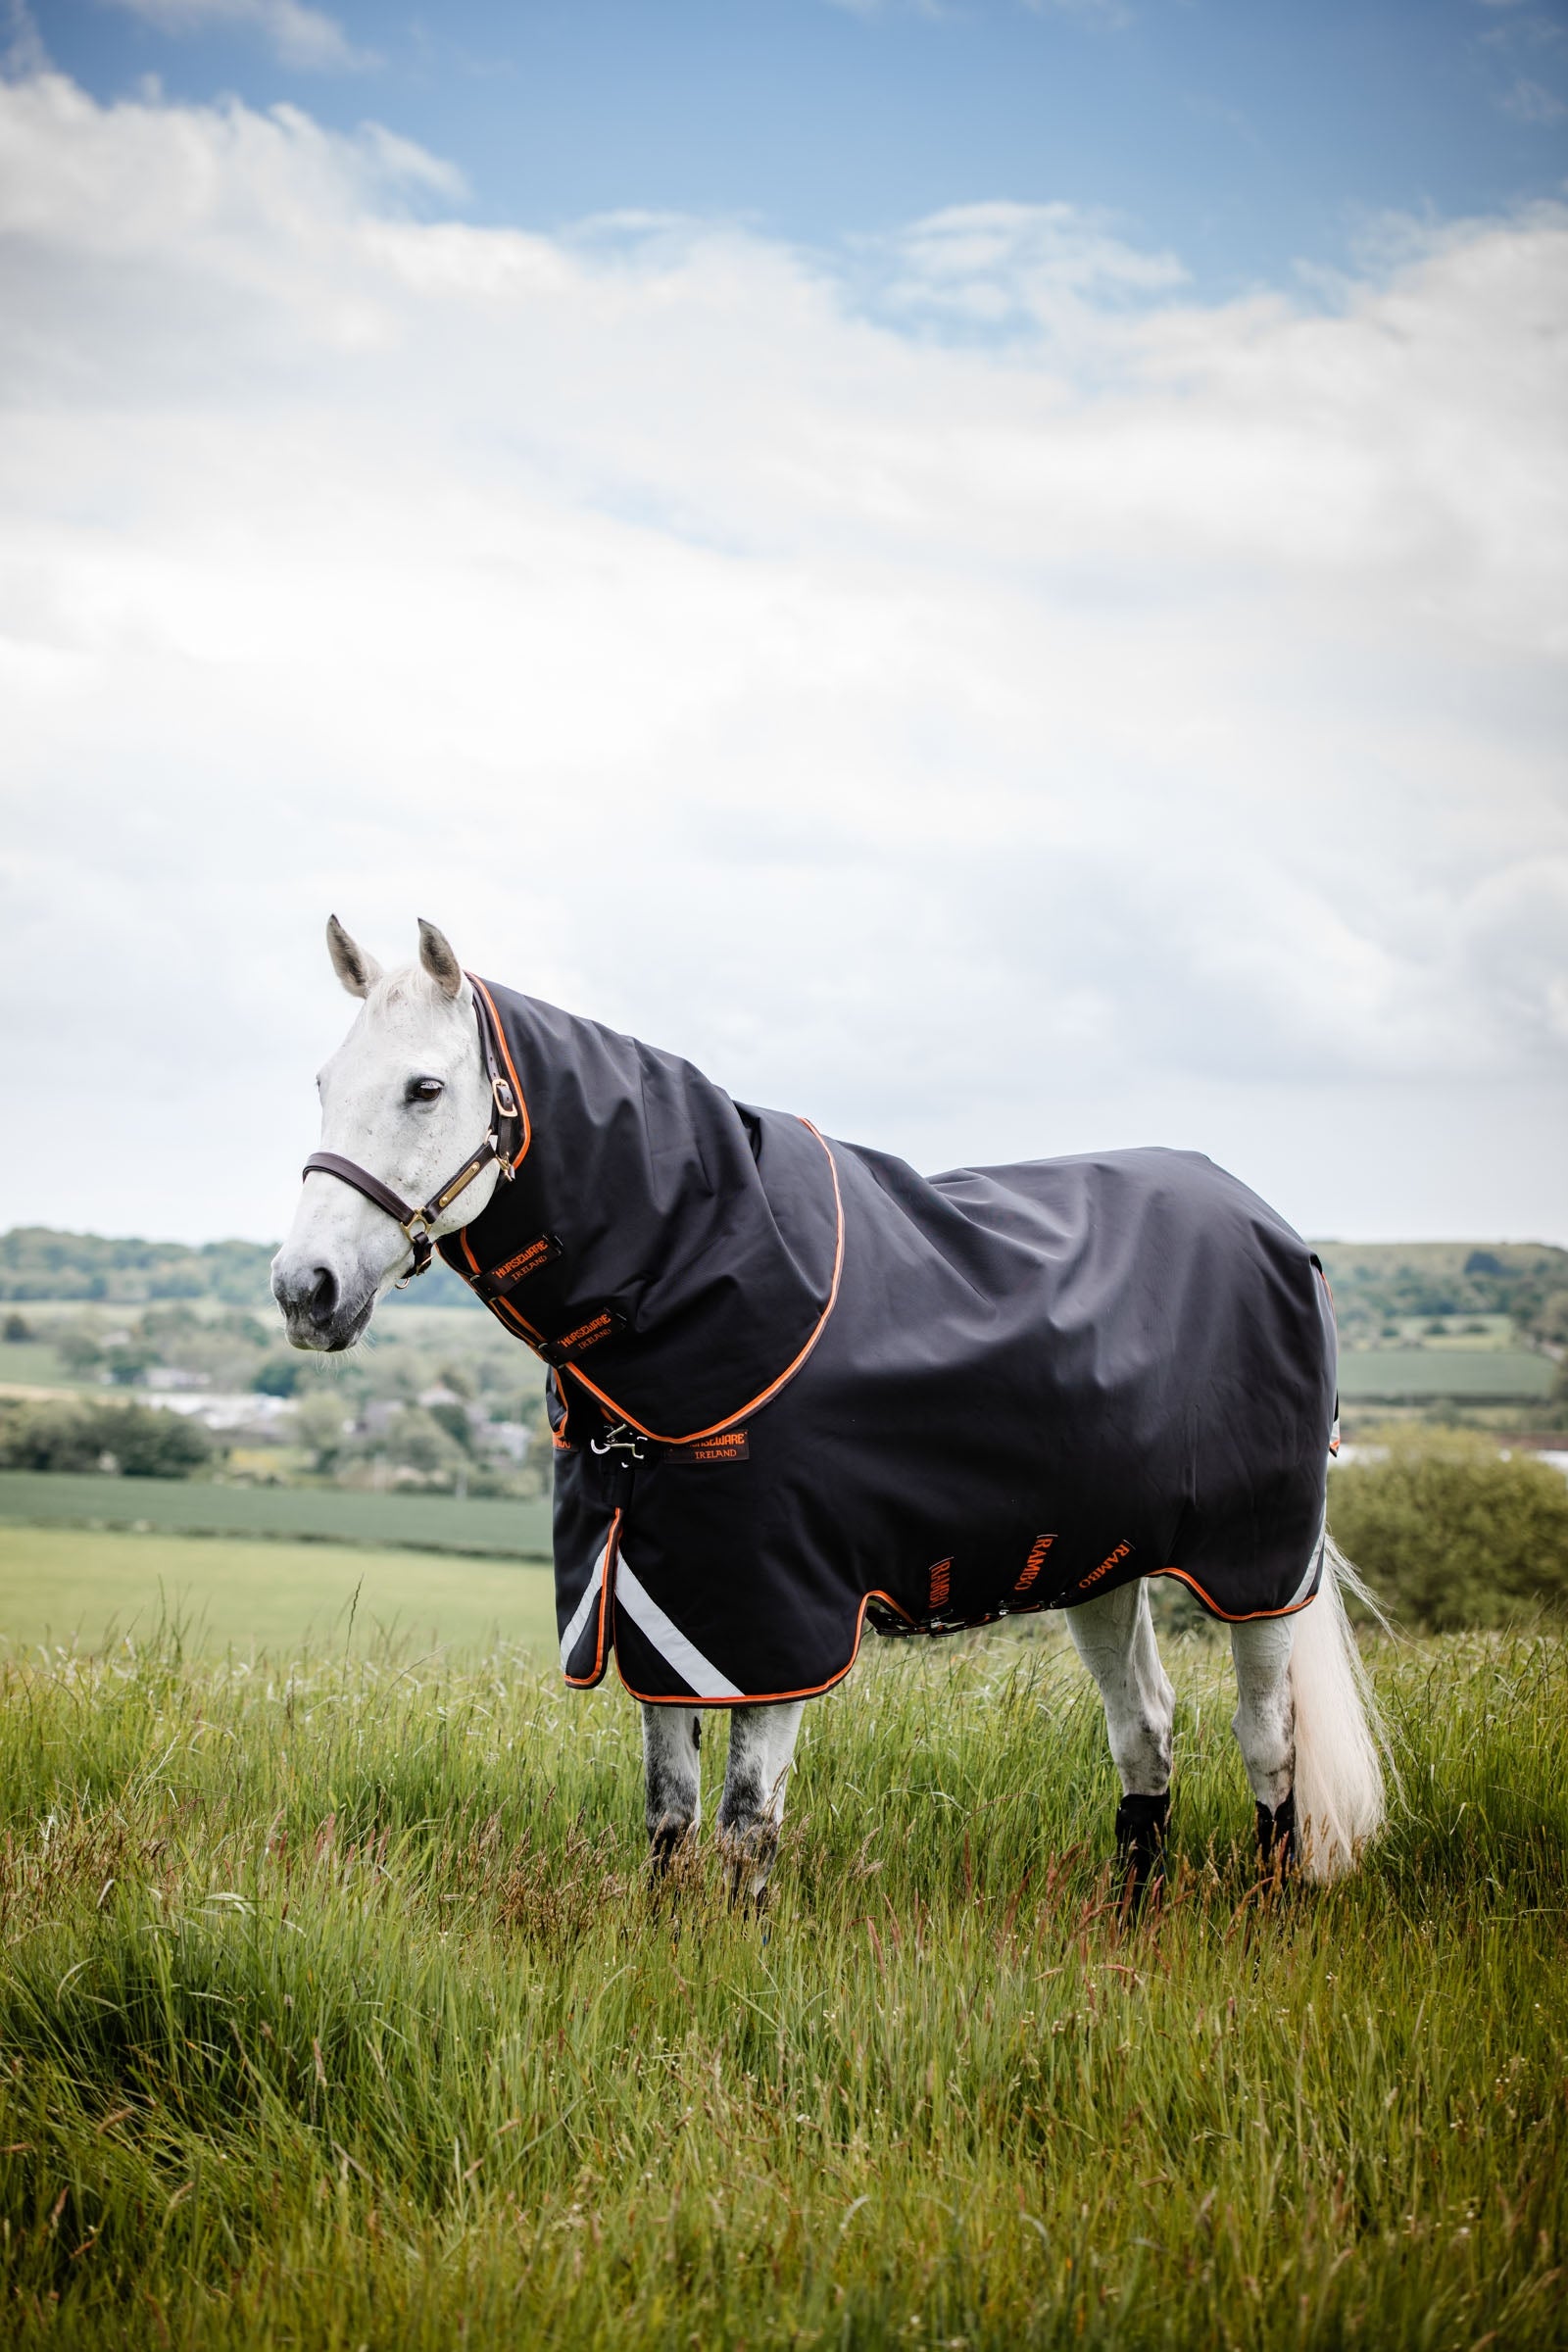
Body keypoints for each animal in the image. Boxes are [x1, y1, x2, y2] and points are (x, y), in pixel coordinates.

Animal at [272, 917, 1386, 1906]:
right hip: (1100, 1560)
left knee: (1268, 1739)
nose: (302, 1290)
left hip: (1258, 1566)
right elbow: (669, 1819)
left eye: (425, 1088)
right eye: (323, 1084)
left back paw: (1270, 1909)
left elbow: (744, 1828)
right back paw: (1128, 1914)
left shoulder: (771, 1622)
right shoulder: (658, 1609)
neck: (708, 1270)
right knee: (1146, 1728)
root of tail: (1272, 1226)